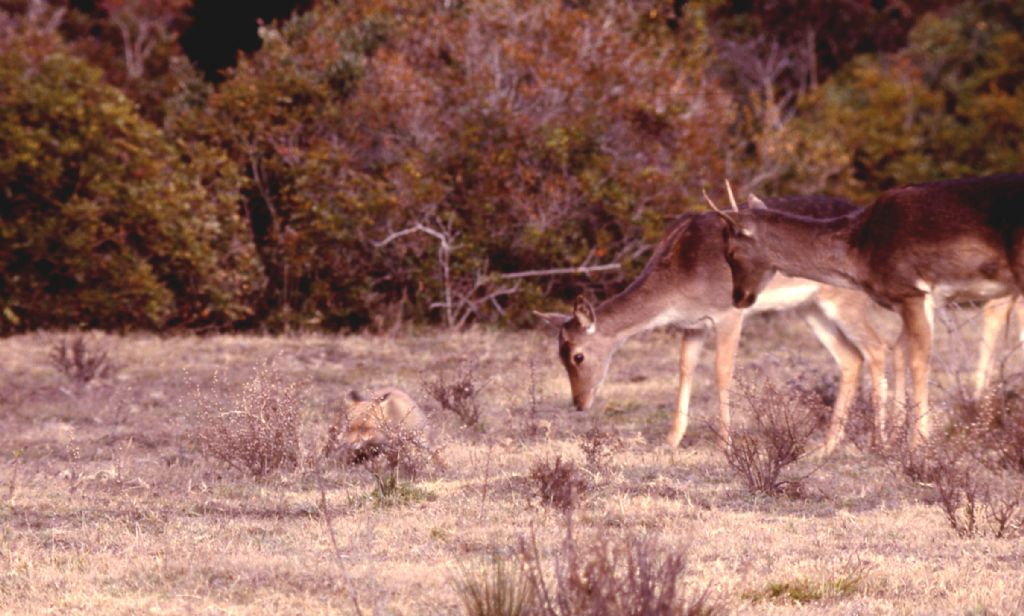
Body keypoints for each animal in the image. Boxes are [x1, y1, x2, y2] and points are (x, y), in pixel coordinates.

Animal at [540, 194, 892, 452]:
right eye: (559, 355)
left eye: (578, 356)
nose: (579, 403)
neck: (679, 278)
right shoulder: (693, 324)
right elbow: (685, 368)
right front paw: (671, 440)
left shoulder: (728, 312)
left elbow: (722, 371)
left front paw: (725, 444)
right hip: (810, 307)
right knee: (850, 357)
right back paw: (826, 447)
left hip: (847, 301)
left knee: (877, 349)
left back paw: (881, 441)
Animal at [708, 172, 1024, 446]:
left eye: (731, 252)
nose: (739, 297)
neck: (859, 250)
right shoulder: (915, 301)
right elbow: (900, 352)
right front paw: (894, 439)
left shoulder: (911, 291)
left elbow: (918, 361)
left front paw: (917, 443)